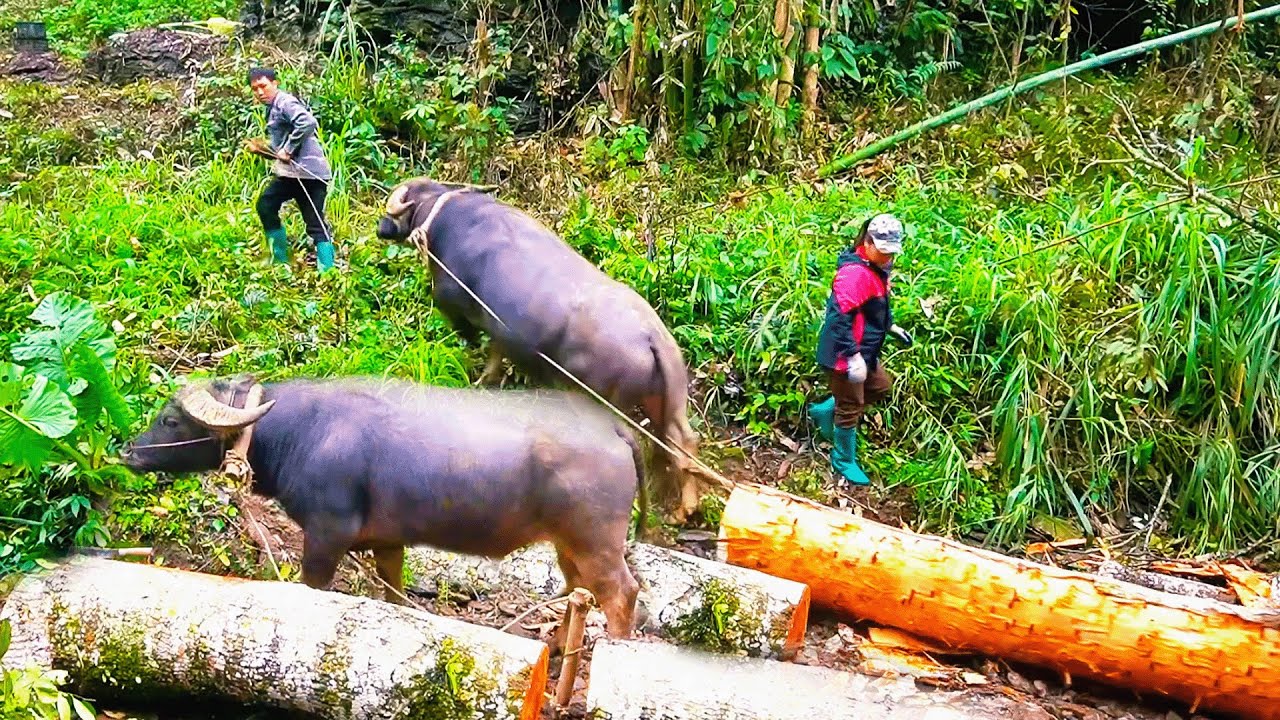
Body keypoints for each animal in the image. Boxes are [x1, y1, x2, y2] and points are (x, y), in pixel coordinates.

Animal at [120, 374, 644, 647]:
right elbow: (393, 593)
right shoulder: (390, 542)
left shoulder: (325, 535)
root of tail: (614, 429)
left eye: (170, 419)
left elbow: (314, 585)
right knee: (578, 590)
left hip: (596, 541)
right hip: (565, 545)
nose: (129, 452)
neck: (302, 431)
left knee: (621, 592)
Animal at [375, 177, 709, 524]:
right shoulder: (502, 330)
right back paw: (684, 509)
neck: (442, 215)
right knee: (681, 442)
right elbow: (495, 354)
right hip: (669, 400)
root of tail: (650, 336)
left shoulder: (450, 299)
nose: (380, 228)